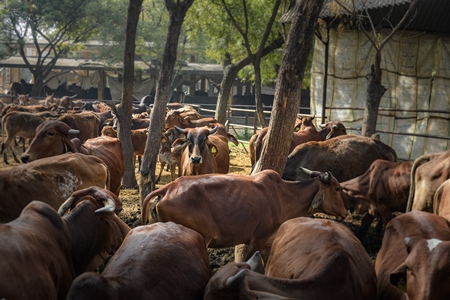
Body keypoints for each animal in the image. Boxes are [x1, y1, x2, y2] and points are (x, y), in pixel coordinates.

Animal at [142, 169, 348, 262]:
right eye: (337, 188)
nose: (345, 212)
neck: (283, 196)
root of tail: (168, 188)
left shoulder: (267, 244)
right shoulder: (257, 240)